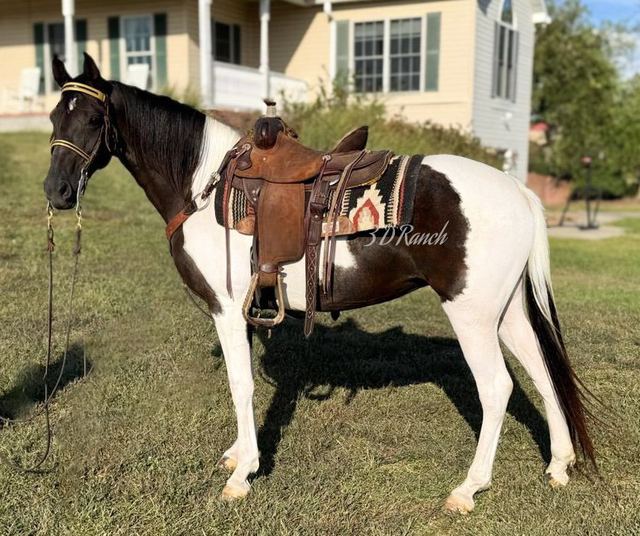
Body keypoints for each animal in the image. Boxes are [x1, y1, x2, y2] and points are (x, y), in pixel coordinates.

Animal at [43, 53, 594, 512]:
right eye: (52, 118)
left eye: (92, 120)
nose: (57, 191)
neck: (205, 188)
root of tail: (517, 189)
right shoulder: (246, 311)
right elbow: (242, 382)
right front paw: (239, 454)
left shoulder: (227, 309)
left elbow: (240, 384)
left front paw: (243, 475)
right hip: (507, 312)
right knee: (542, 373)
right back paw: (559, 464)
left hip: (472, 314)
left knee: (497, 388)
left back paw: (468, 488)